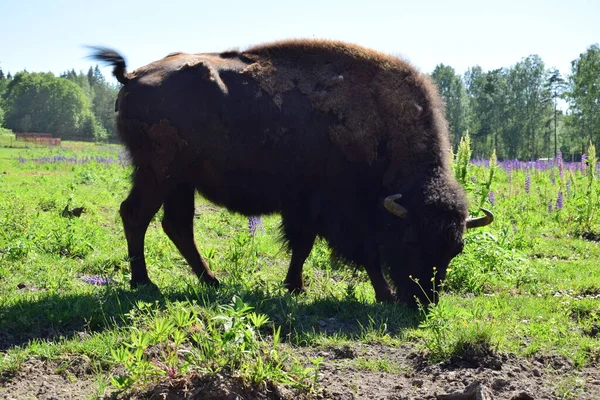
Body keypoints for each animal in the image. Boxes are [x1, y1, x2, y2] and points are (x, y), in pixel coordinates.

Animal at [90, 39, 492, 304]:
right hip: (158, 174)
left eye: (455, 250)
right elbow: (347, 250)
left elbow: (305, 246)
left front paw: (294, 286)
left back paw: (212, 281)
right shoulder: (330, 207)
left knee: (177, 226)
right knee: (136, 215)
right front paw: (383, 294)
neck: (381, 125)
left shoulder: (310, 208)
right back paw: (144, 283)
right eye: (410, 240)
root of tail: (133, 76)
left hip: (179, 181)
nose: (424, 301)